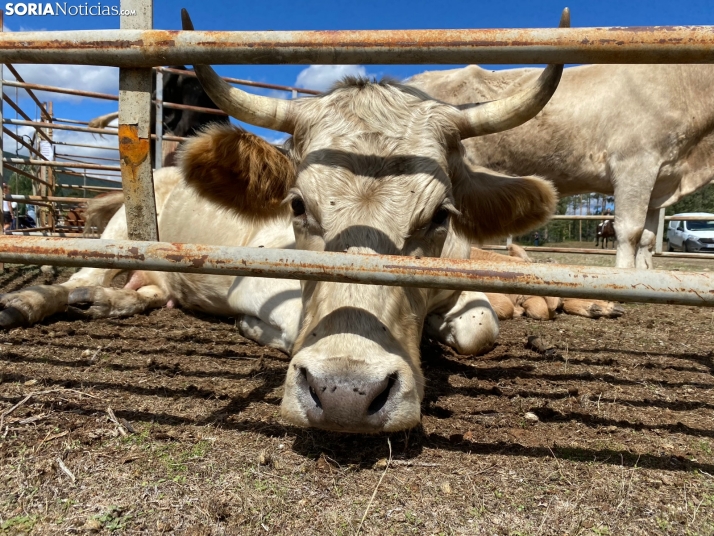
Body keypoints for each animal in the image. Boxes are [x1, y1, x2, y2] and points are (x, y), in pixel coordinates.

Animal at [0, 8, 572, 434]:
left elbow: (481, 328)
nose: (346, 396)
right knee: (72, 278)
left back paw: (106, 303)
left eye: (439, 216)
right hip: (119, 235)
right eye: (297, 205)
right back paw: (28, 303)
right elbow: (294, 322)